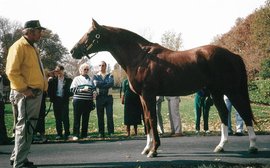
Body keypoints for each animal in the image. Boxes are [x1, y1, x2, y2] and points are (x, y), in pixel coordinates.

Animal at [70, 19, 258, 158]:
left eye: (90, 34)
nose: (73, 51)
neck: (140, 57)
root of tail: (233, 55)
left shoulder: (149, 95)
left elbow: (152, 119)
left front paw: (154, 150)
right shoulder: (142, 97)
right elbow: (146, 120)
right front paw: (147, 148)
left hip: (231, 91)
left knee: (244, 112)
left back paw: (252, 146)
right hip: (216, 92)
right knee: (224, 114)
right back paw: (221, 146)